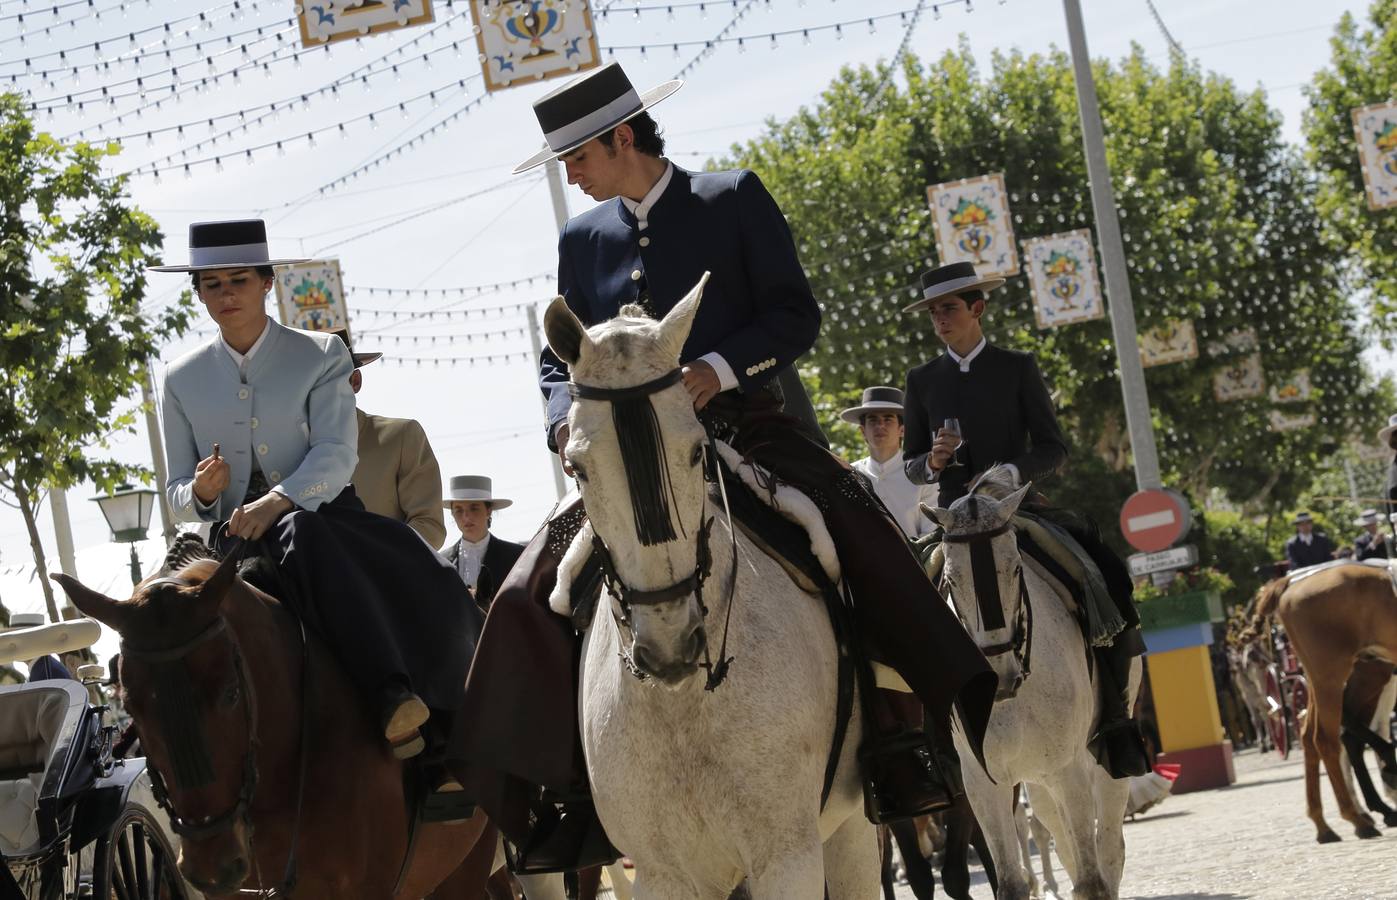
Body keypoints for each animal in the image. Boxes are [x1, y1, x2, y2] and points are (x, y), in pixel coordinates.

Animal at [542, 275, 877, 900]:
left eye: (698, 450)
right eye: (576, 467)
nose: (670, 646)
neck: (683, 707)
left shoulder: (787, 858)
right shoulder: (663, 875)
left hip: (849, 832)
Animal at [927, 472, 1134, 900]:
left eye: (1016, 568)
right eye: (951, 579)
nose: (998, 675)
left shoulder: (1069, 769)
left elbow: (1092, 881)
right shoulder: (984, 786)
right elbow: (1011, 882)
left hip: (1099, 763)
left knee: (1108, 851)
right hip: (1040, 784)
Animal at [1246, 570, 1397, 844]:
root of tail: (1289, 585)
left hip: (1324, 681)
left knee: (1310, 737)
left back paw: (1324, 824)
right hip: (1335, 678)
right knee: (1327, 740)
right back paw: (1357, 817)